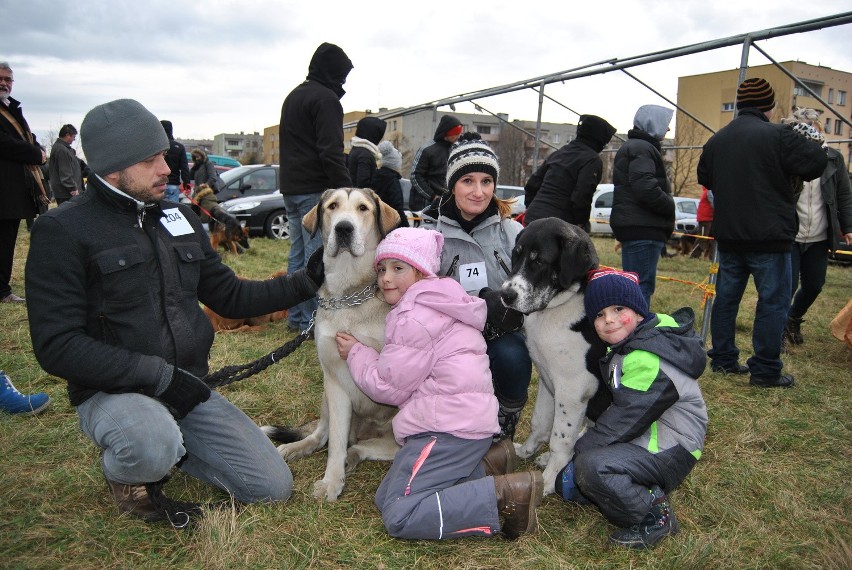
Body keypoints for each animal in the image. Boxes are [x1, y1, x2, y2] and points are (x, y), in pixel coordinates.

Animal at [262, 186, 400, 496]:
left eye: (363, 208)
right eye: (332, 206)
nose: (344, 228)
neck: (348, 295)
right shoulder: (335, 381)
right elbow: (334, 442)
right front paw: (331, 481)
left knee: (371, 448)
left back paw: (354, 456)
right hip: (325, 396)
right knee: (322, 436)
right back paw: (295, 448)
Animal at [502, 217, 608, 492]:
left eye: (539, 261)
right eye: (516, 255)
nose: (506, 295)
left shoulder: (572, 391)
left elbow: (560, 439)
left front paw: (548, 481)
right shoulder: (548, 382)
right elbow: (540, 423)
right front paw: (525, 452)